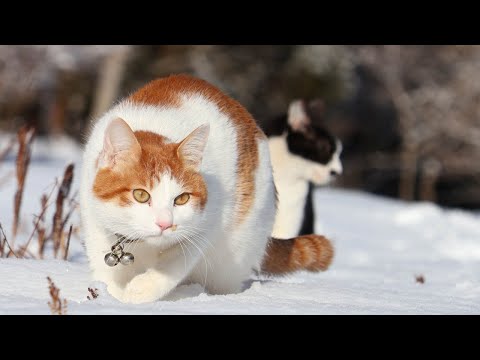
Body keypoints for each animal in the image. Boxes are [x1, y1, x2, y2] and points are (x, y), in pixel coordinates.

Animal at [79, 74, 334, 304]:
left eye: (181, 199)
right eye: (141, 195)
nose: (165, 224)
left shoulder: (206, 225)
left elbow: (172, 267)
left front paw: (138, 292)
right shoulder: (96, 225)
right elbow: (106, 274)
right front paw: (111, 298)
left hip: (233, 253)